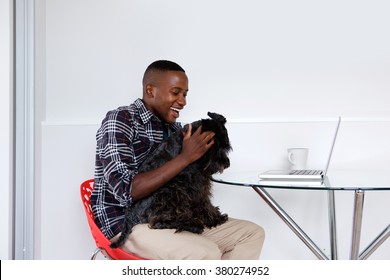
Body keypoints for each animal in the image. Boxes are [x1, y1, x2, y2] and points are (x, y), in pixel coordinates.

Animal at [109, 112, 232, 248]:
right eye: (214, 146)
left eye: (226, 146)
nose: (226, 164)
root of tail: (129, 216)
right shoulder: (196, 184)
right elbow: (203, 202)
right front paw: (213, 218)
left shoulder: (202, 183)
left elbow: (206, 202)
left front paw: (216, 216)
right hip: (170, 190)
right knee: (158, 221)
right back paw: (192, 224)